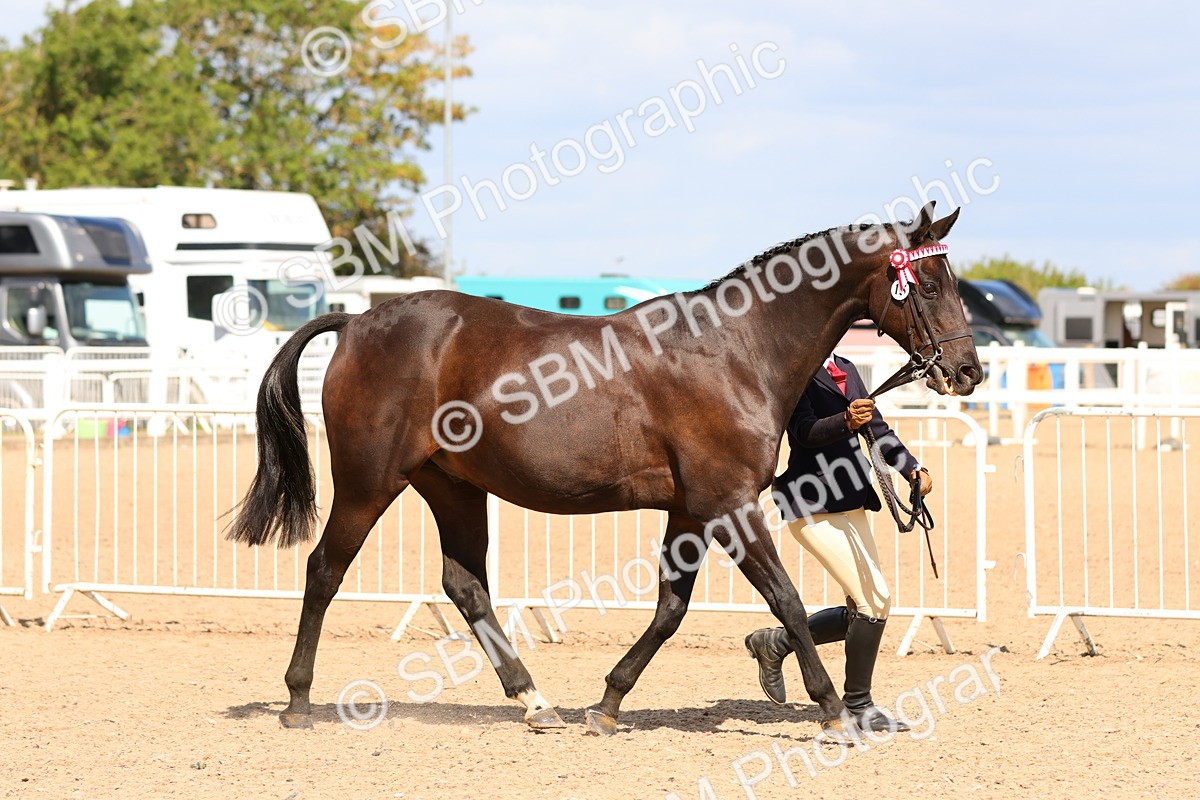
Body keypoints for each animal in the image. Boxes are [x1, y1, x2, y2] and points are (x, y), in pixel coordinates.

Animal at [229, 200, 982, 739]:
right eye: (928, 282)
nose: (967, 371)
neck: (735, 349)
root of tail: (358, 321)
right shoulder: (731, 505)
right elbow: (787, 602)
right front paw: (831, 709)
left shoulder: (690, 512)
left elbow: (671, 610)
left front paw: (608, 703)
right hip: (369, 482)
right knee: (325, 569)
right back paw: (298, 700)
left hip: (454, 486)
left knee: (465, 585)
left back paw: (536, 702)